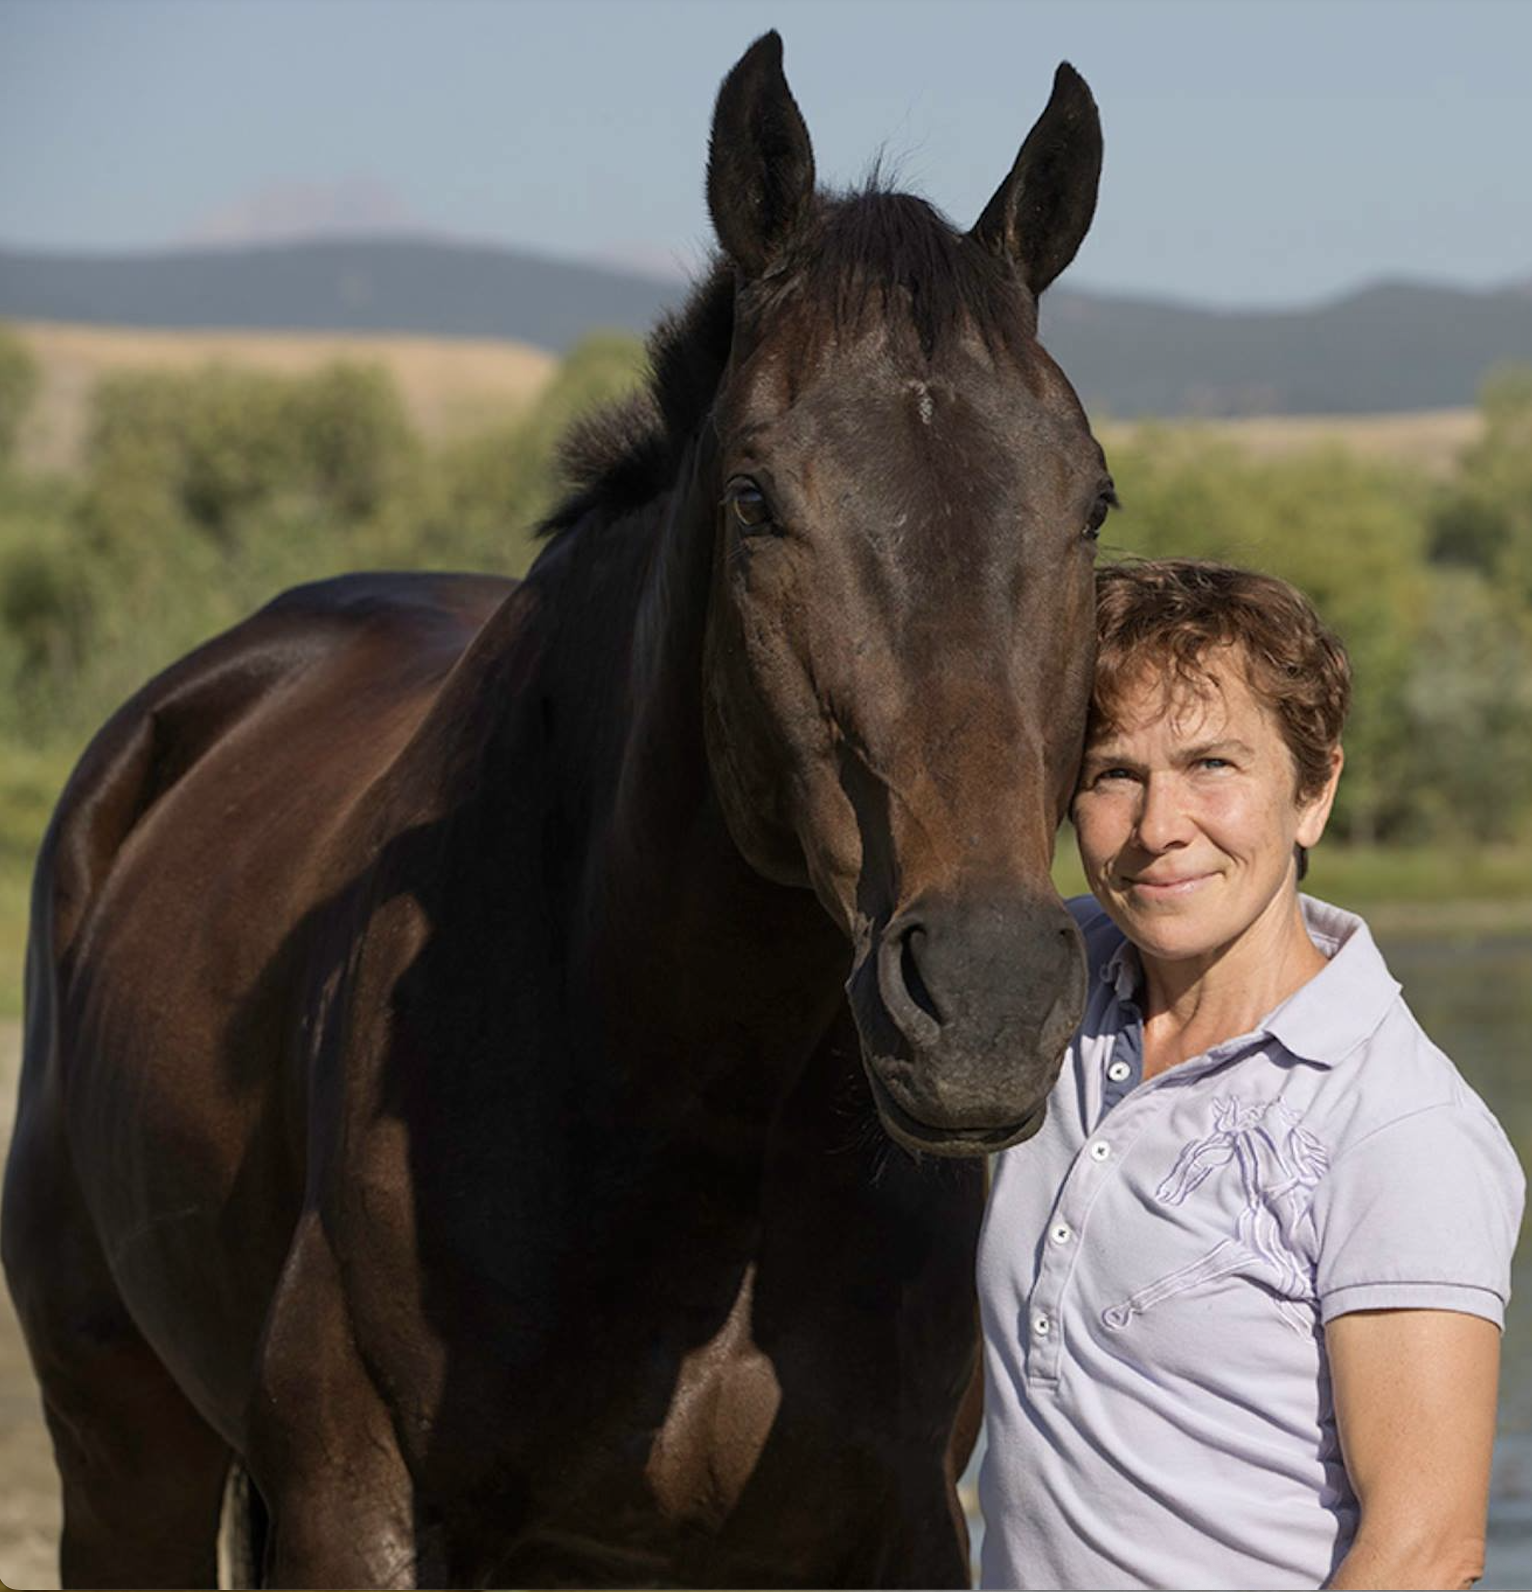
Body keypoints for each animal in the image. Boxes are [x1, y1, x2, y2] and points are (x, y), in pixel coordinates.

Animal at [2, 32, 1111, 1589]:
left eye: (1092, 502)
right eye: (754, 497)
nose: (987, 998)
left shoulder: (893, 1525)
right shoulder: (354, 1510)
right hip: (121, 1452)